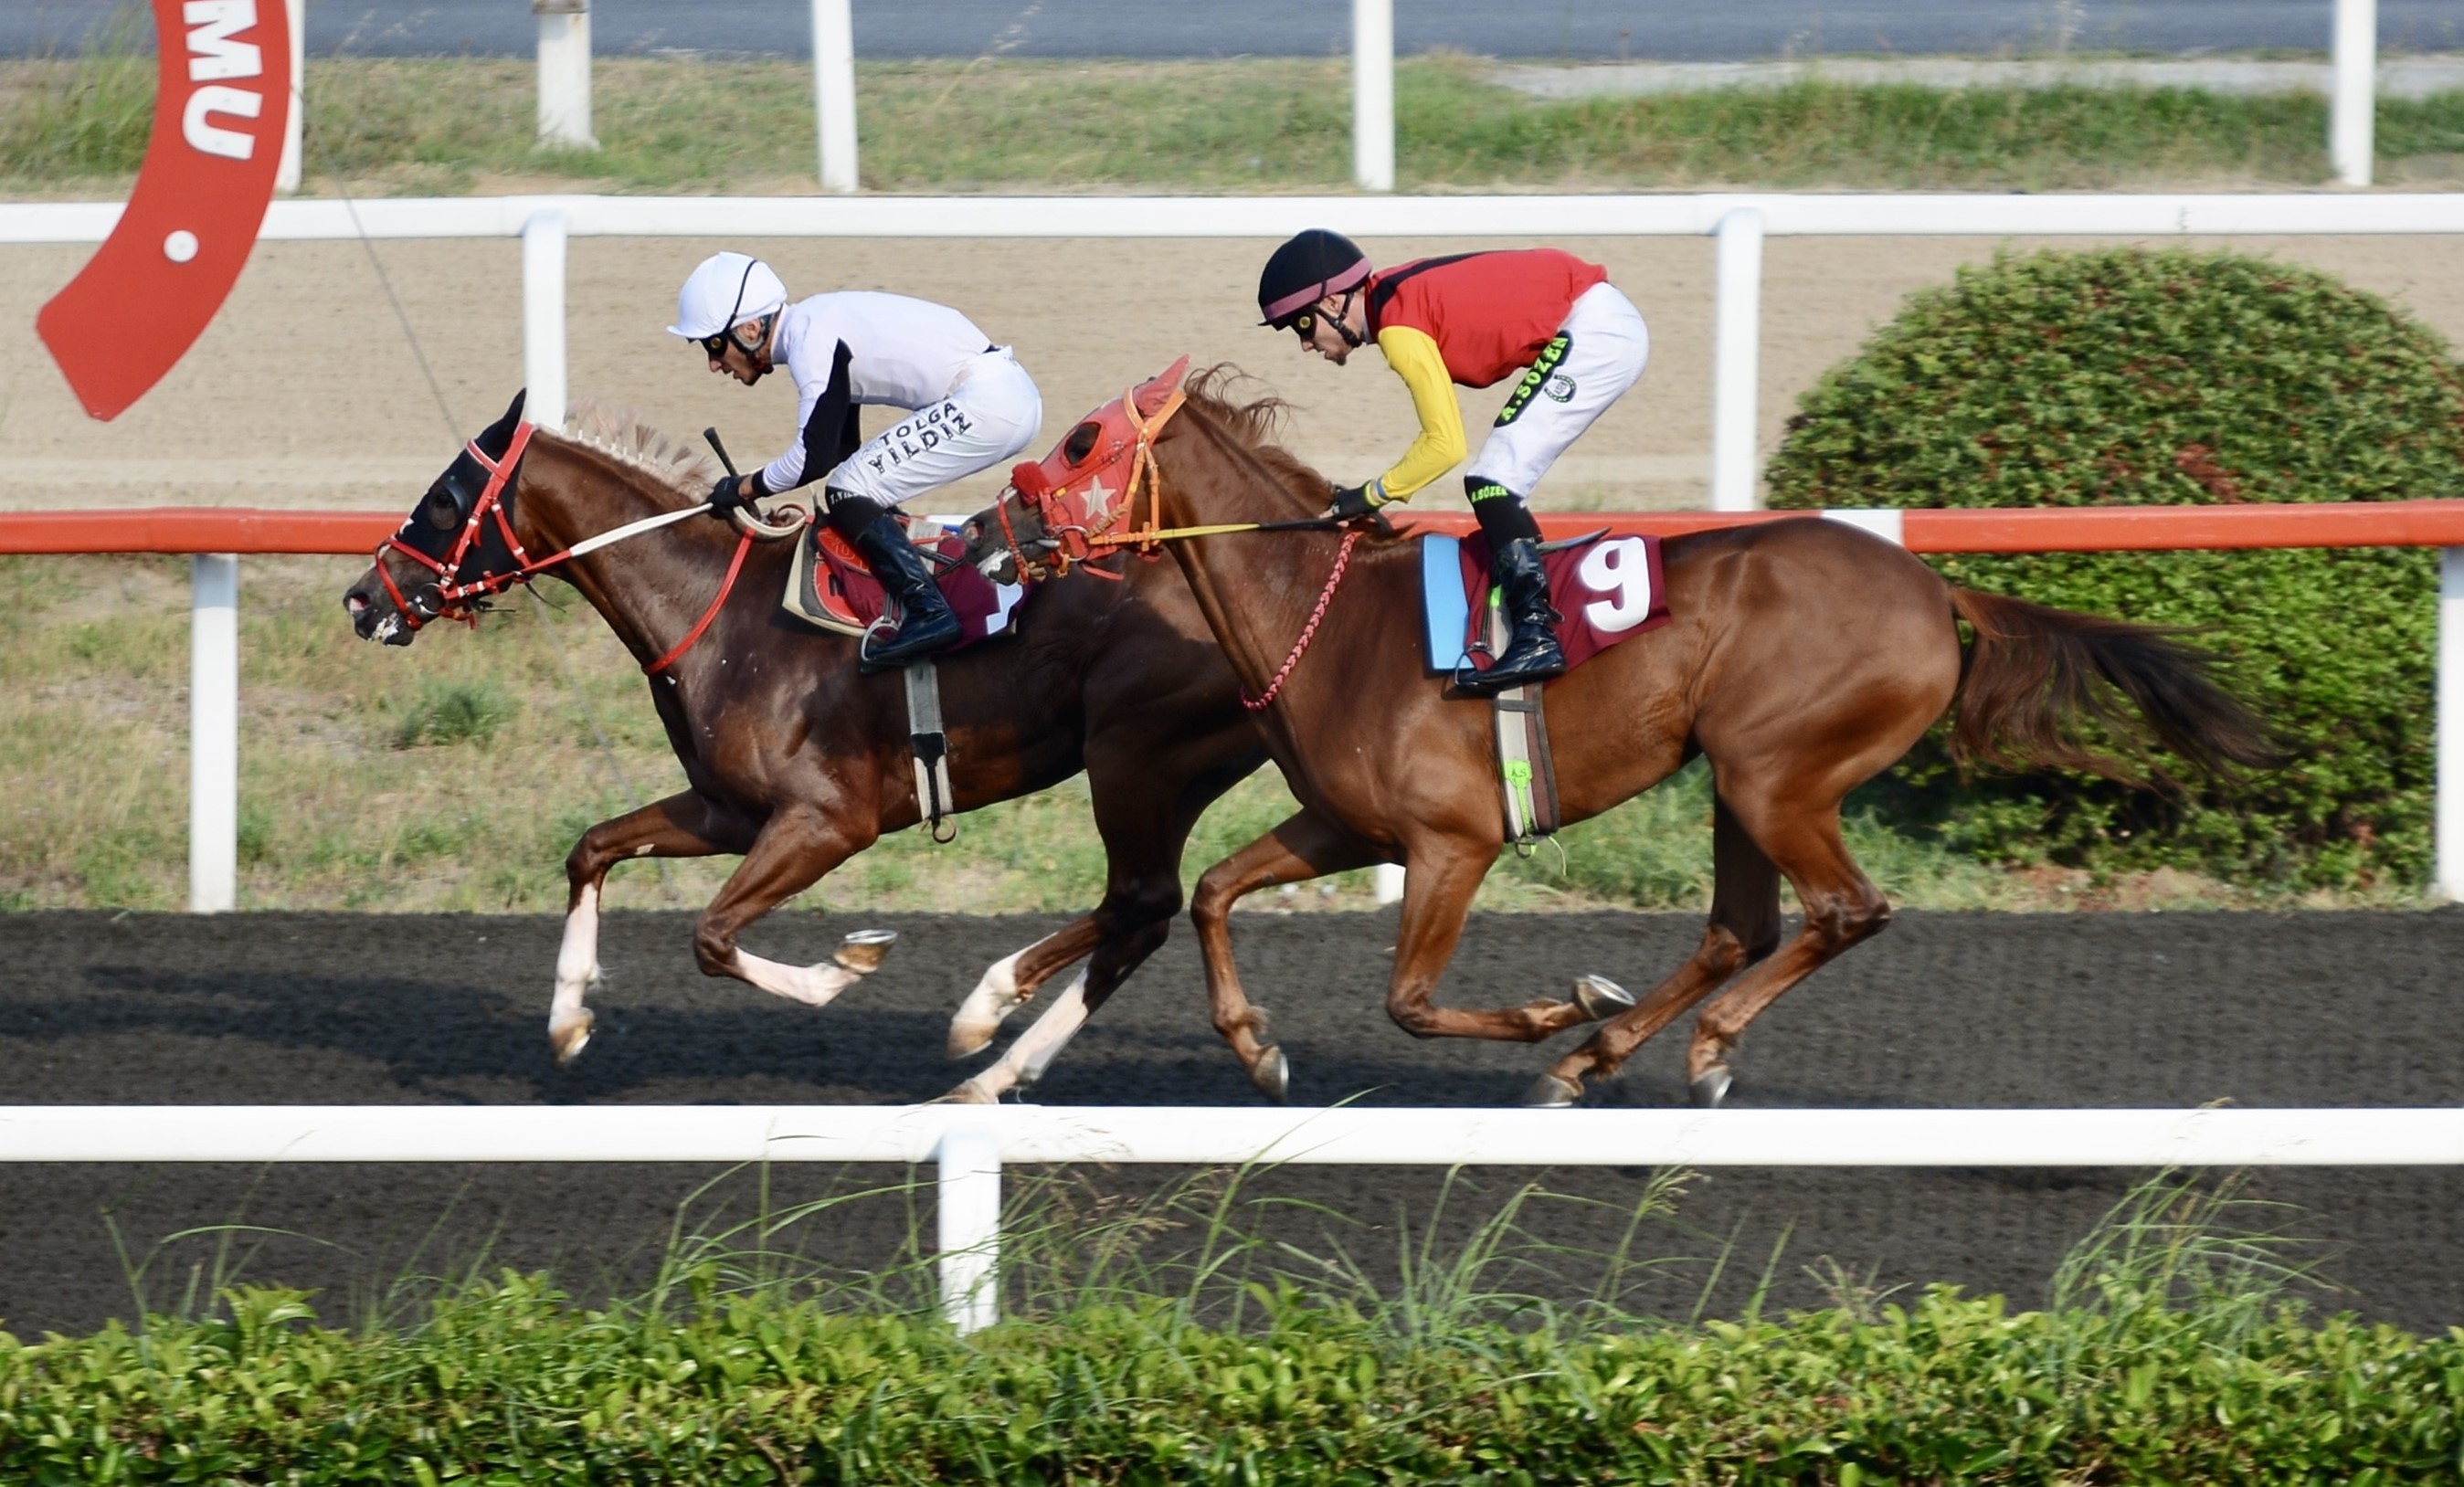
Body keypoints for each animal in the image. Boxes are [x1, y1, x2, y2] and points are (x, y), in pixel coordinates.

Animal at [342, 388, 1271, 1098]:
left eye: (443, 500)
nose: (361, 599)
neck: (716, 616)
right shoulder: (726, 812)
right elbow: (592, 849)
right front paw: (568, 1017)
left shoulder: (828, 822)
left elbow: (712, 937)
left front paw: (844, 967)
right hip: (1170, 772)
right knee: (1142, 915)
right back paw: (1009, 1067)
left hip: (1134, 759)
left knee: (1140, 901)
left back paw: (985, 1017)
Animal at [970, 369, 2277, 1102]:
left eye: (1081, 440)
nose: (990, 529)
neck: (1323, 614)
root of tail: (1932, 587)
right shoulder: (1349, 823)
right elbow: (1211, 892)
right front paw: (1255, 1047)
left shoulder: (1452, 842)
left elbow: (1407, 999)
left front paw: (1558, 1007)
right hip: (1743, 780)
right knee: (1745, 924)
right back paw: (1605, 1057)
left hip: (1776, 771)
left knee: (1840, 910)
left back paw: (1671, 1046)